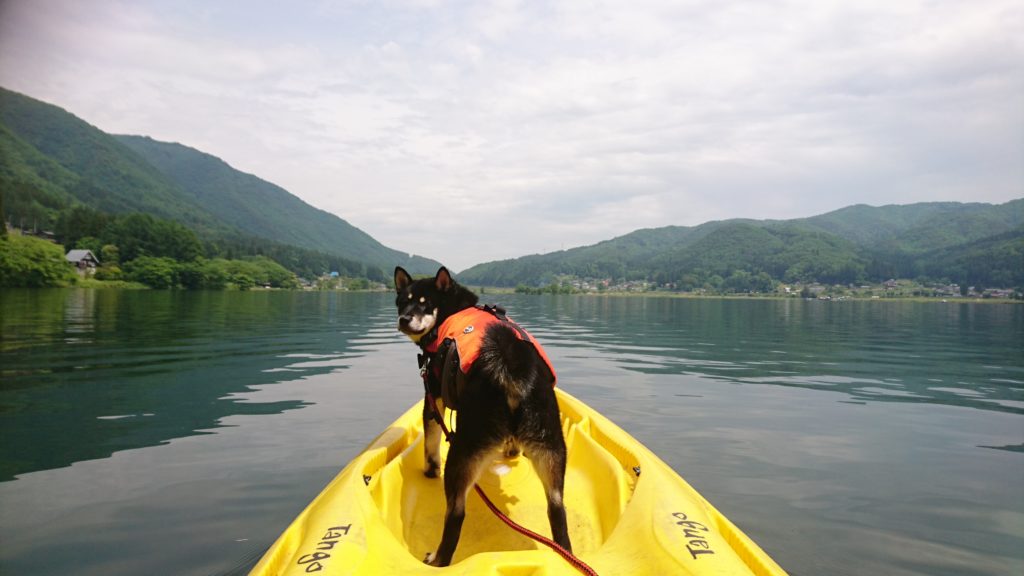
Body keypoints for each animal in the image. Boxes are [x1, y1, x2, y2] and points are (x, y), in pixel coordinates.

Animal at [391, 266, 573, 565]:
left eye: (425, 304)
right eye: (402, 302)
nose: (404, 319)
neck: (453, 310)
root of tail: (511, 365)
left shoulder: (432, 397)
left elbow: (431, 444)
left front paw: (430, 471)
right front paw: (511, 450)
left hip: (464, 451)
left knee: (455, 514)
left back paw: (438, 559)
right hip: (552, 449)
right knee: (557, 510)